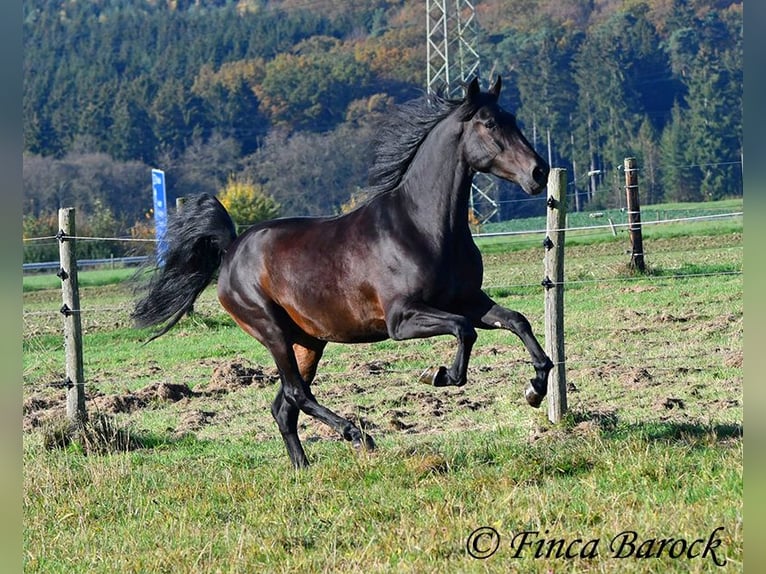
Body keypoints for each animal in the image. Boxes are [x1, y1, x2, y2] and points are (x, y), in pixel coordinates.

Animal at [132, 76, 552, 470]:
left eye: (513, 119)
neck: (423, 227)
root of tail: (231, 249)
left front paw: (536, 388)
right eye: (489, 124)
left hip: (308, 342)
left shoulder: (469, 300)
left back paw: (303, 468)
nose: (539, 172)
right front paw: (439, 375)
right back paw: (358, 436)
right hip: (272, 332)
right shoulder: (402, 320)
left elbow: (517, 320)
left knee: (283, 407)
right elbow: (463, 330)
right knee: (298, 394)